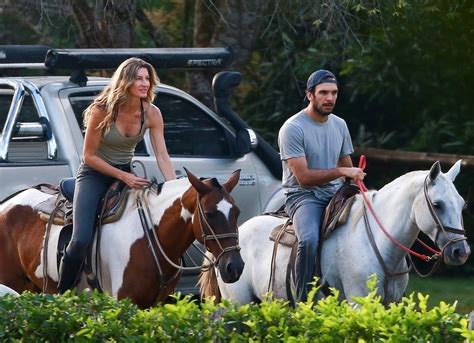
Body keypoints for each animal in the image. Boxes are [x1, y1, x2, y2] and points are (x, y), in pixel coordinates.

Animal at [0, 169, 244, 310]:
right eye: (210, 214)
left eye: (237, 212)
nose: (235, 267)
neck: (150, 238)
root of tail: (6, 204)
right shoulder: (123, 302)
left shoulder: (153, 305)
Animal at [200, 160, 470, 306]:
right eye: (437, 204)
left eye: (462, 203)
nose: (461, 251)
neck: (377, 242)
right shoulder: (358, 303)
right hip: (238, 304)